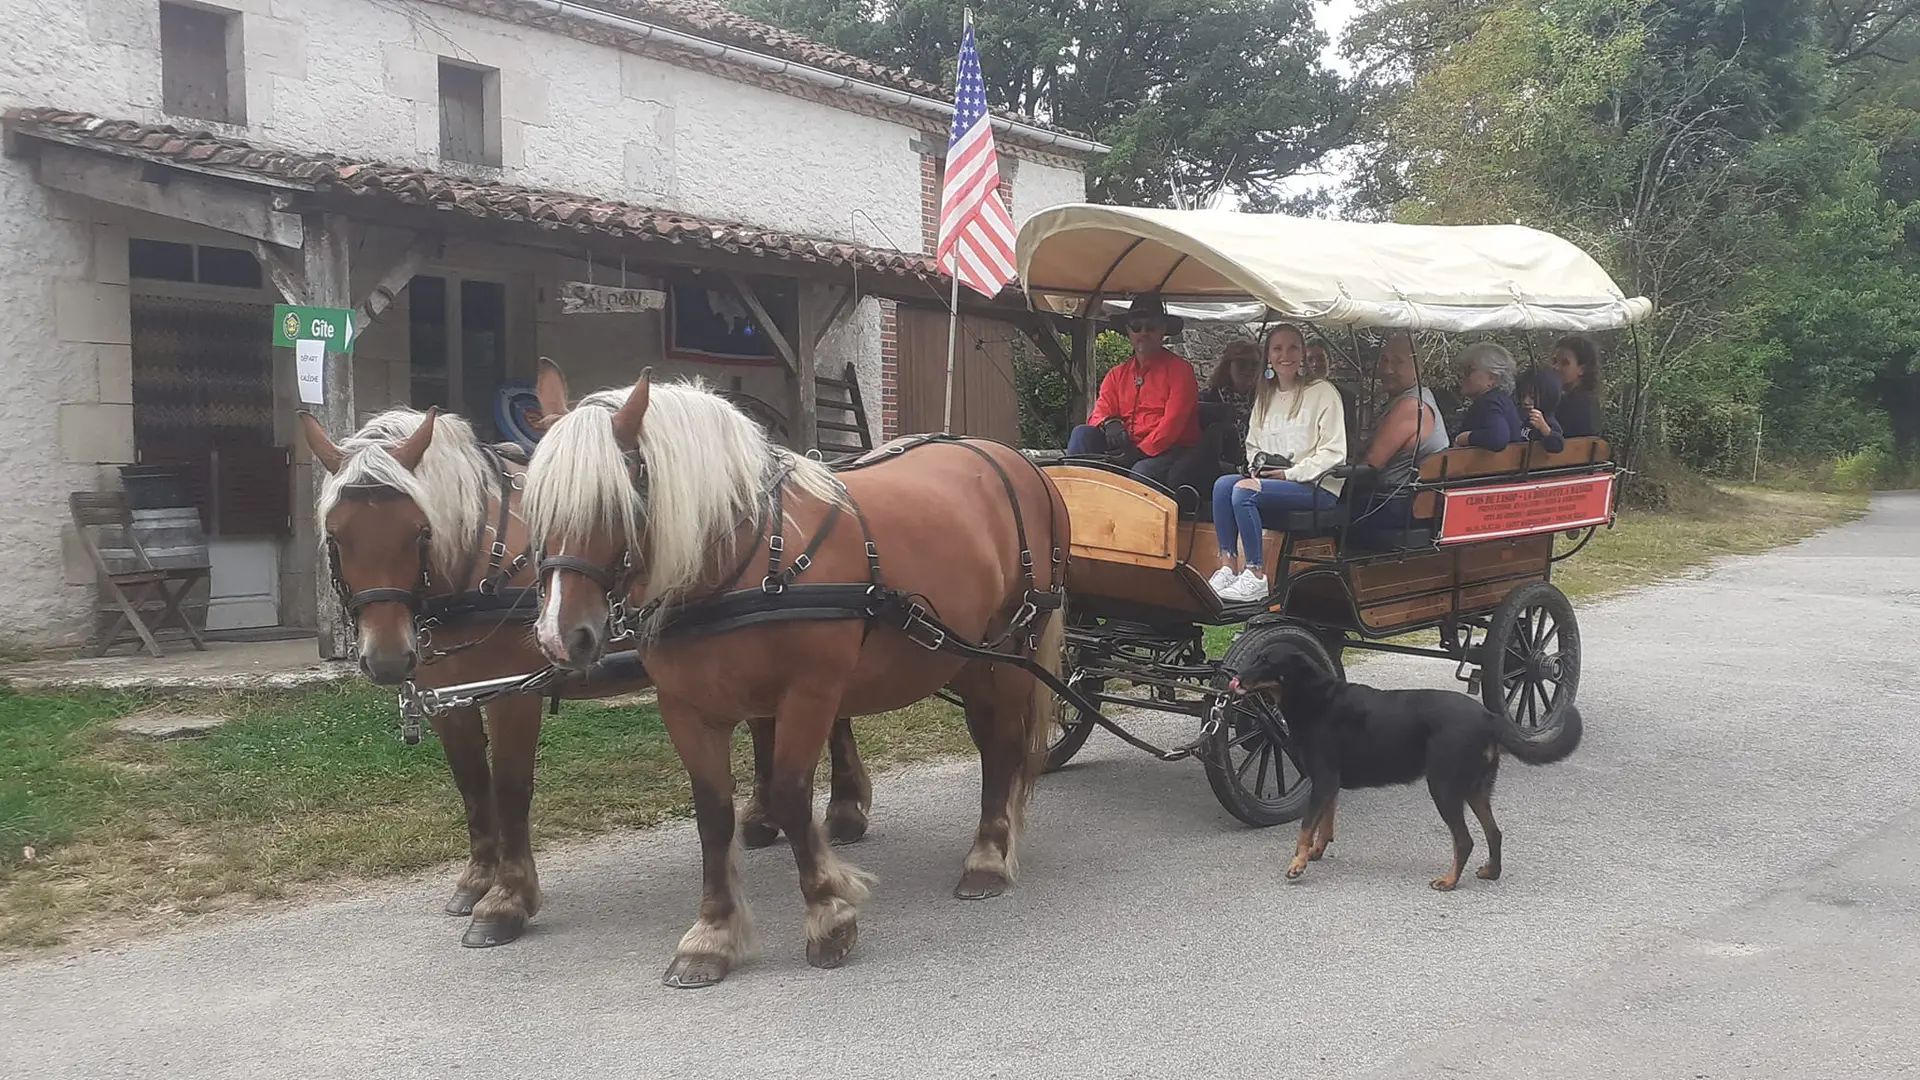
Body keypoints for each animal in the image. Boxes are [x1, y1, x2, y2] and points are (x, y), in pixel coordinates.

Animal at [299, 399, 879, 945]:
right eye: (336, 535)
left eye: (419, 531)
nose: (387, 657)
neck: (479, 558)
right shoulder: (450, 698)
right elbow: (471, 785)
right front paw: (478, 879)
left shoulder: (514, 696)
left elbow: (510, 787)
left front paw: (506, 900)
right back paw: (762, 815)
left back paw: (844, 807)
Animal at [518, 359, 1075, 983]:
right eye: (534, 504)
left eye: (616, 499)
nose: (561, 636)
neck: (747, 558)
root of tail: (1018, 462)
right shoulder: (684, 706)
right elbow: (713, 815)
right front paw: (712, 934)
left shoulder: (811, 692)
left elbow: (789, 795)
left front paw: (828, 913)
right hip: (968, 654)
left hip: (1012, 646)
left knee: (1001, 746)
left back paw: (988, 857)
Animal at [1228, 634, 1574, 887]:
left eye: (1265, 660)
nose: (1235, 678)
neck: (1313, 696)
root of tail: (1487, 717)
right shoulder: (1328, 783)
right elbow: (1324, 823)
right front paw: (1316, 851)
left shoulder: (1323, 779)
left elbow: (1305, 826)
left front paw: (1297, 864)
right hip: (1476, 787)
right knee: (1494, 833)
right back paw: (1491, 872)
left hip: (1444, 786)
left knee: (1464, 840)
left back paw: (1449, 881)